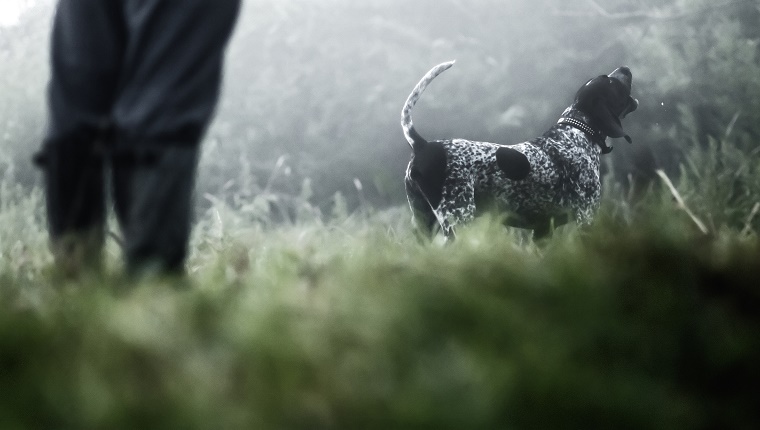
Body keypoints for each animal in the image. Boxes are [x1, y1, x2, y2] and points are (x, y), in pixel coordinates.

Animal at [400, 61, 640, 239]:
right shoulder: (586, 218)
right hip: (458, 220)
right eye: (610, 81)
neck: (577, 132)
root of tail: (422, 144)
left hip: (426, 225)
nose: (625, 68)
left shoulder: (543, 232)